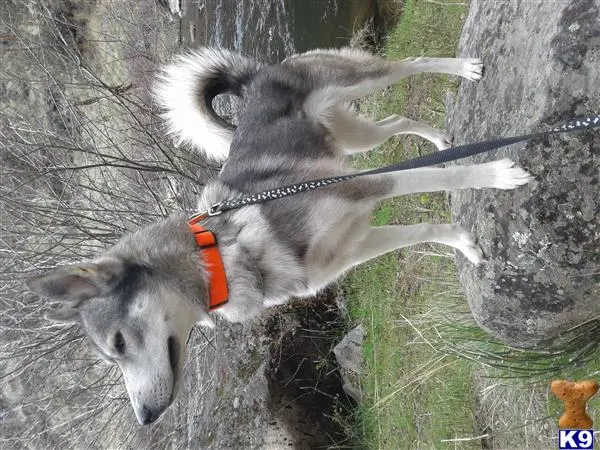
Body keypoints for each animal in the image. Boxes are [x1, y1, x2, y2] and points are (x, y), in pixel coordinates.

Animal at [27, 47, 536, 424]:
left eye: (117, 344)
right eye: (112, 358)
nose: (146, 419)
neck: (226, 250)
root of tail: (253, 82)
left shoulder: (361, 186)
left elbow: (448, 177)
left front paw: (497, 175)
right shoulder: (353, 244)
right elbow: (427, 227)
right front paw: (464, 243)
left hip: (358, 83)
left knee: (409, 65)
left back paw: (463, 69)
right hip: (354, 140)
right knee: (394, 123)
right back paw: (439, 140)